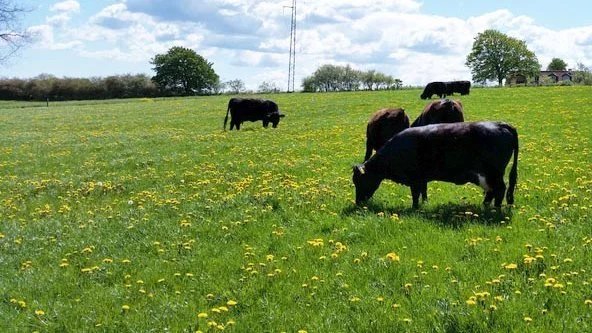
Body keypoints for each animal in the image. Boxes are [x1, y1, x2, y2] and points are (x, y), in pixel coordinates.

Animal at [352, 120, 520, 209]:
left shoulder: (414, 178)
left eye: (359, 181)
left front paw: (414, 208)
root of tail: (500, 124)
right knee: (492, 191)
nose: (358, 202)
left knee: (500, 189)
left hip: (493, 173)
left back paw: (495, 209)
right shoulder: (422, 178)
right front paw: (424, 204)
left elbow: (415, 195)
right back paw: (485, 206)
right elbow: (423, 192)